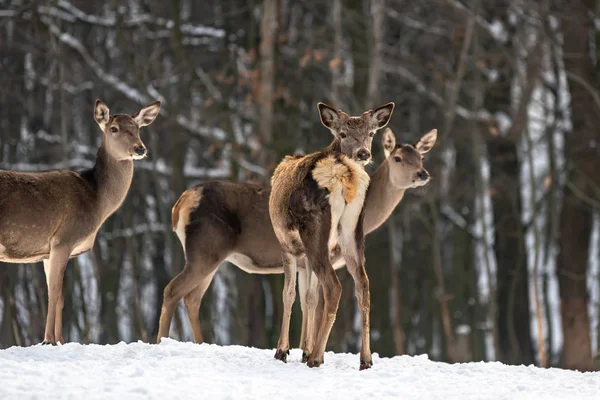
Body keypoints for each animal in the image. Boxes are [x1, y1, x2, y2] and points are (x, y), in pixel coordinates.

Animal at [0, 98, 161, 346]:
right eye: (114, 129)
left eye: (138, 128)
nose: (140, 148)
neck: (96, 201)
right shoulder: (63, 238)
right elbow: (54, 292)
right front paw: (48, 340)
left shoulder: (47, 252)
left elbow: (59, 296)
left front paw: (60, 340)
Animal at [268, 101, 394, 370]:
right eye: (343, 134)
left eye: (371, 133)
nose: (363, 153)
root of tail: (345, 173)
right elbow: (310, 297)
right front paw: (305, 349)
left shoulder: (287, 245)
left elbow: (290, 294)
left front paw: (284, 350)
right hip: (352, 229)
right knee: (363, 284)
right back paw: (365, 358)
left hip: (314, 228)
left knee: (334, 287)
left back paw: (316, 357)